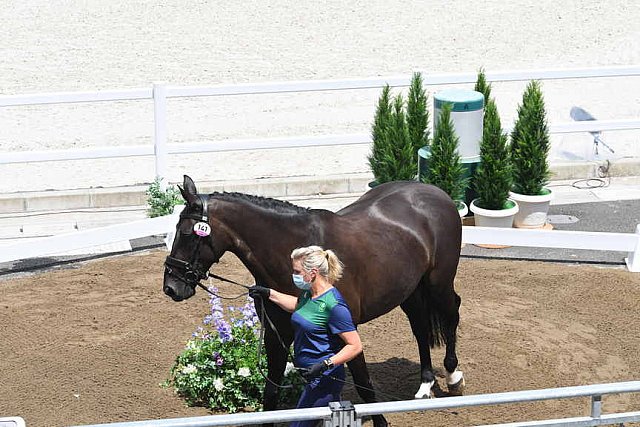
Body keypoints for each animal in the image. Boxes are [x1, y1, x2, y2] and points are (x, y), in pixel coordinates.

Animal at [162, 175, 462, 427]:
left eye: (187, 233)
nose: (171, 287)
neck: (294, 254)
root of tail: (434, 192)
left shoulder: (346, 331)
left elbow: (364, 385)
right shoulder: (277, 334)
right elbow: (271, 390)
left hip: (438, 283)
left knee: (452, 312)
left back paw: (452, 375)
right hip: (410, 290)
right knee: (420, 327)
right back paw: (425, 384)